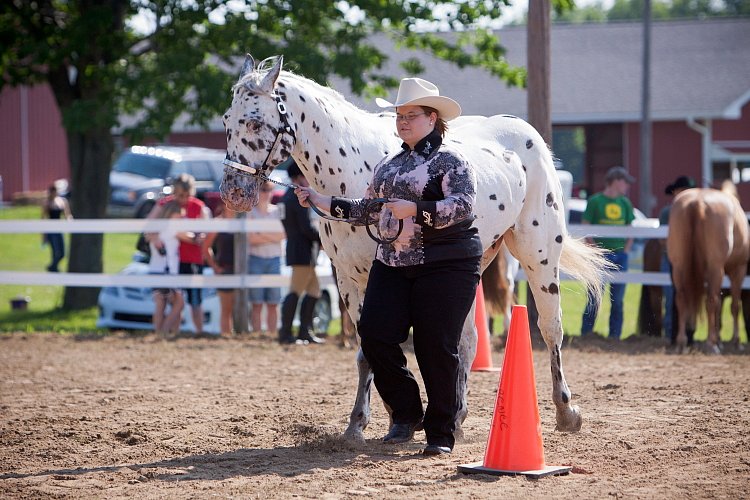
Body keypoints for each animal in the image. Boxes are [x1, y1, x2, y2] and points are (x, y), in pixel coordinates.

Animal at [219, 54, 612, 442]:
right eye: (226, 120)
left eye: (254, 121)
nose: (233, 193)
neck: (352, 166)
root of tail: (530, 137)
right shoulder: (349, 279)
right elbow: (368, 351)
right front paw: (367, 422)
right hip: (475, 267)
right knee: (467, 340)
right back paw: (459, 416)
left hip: (539, 256)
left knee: (550, 328)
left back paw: (565, 411)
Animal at [668, 183, 750, 352]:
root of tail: (697, 201)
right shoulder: (738, 269)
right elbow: (734, 306)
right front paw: (735, 341)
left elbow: (720, 305)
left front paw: (720, 340)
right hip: (716, 268)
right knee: (711, 301)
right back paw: (711, 344)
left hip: (679, 267)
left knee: (681, 299)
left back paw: (681, 342)